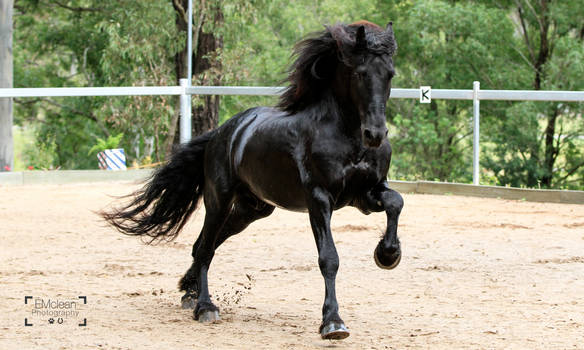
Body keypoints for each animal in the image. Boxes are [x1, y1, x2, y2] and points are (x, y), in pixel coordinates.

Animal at [104, 19, 402, 340]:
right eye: (360, 73)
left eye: (390, 74)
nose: (375, 134)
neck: (346, 136)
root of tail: (222, 132)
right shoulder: (319, 199)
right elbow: (329, 258)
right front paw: (333, 322)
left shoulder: (365, 193)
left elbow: (396, 202)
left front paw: (388, 254)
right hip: (218, 201)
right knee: (205, 248)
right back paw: (205, 307)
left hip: (252, 209)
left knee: (206, 244)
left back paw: (189, 293)